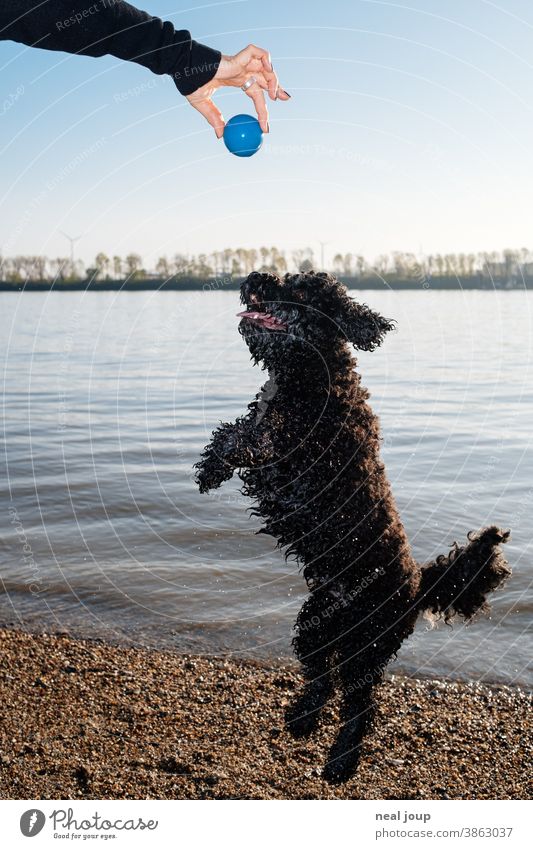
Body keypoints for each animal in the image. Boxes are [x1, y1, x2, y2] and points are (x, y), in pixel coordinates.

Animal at [193, 272, 510, 780]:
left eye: (299, 290)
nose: (253, 278)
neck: (310, 372)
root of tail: (418, 584)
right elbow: (232, 431)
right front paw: (208, 471)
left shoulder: (287, 445)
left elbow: (240, 436)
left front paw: (216, 464)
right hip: (315, 626)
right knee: (322, 680)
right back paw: (302, 718)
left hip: (367, 647)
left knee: (359, 706)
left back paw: (341, 760)